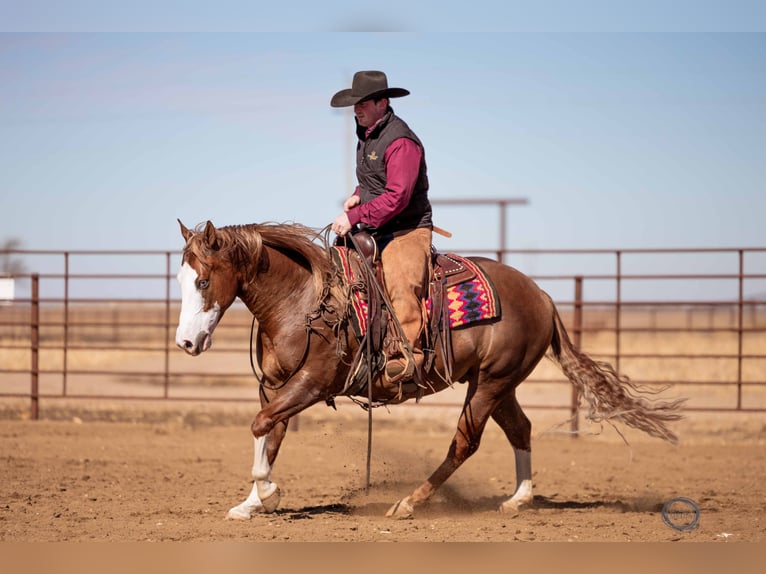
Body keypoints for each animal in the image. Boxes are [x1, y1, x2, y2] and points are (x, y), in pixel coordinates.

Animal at [175, 219, 684, 520]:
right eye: (181, 279)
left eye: (204, 280)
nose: (185, 343)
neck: (303, 299)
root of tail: (541, 295)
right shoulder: (276, 386)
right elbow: (269, 432)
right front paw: (250, 502)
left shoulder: (312, 384)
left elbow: (262, 425)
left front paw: (268, 493)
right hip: (498, 383)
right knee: (520, 428)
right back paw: (518, 499)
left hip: (490, 384)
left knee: (465, 442)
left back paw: (409, 503)